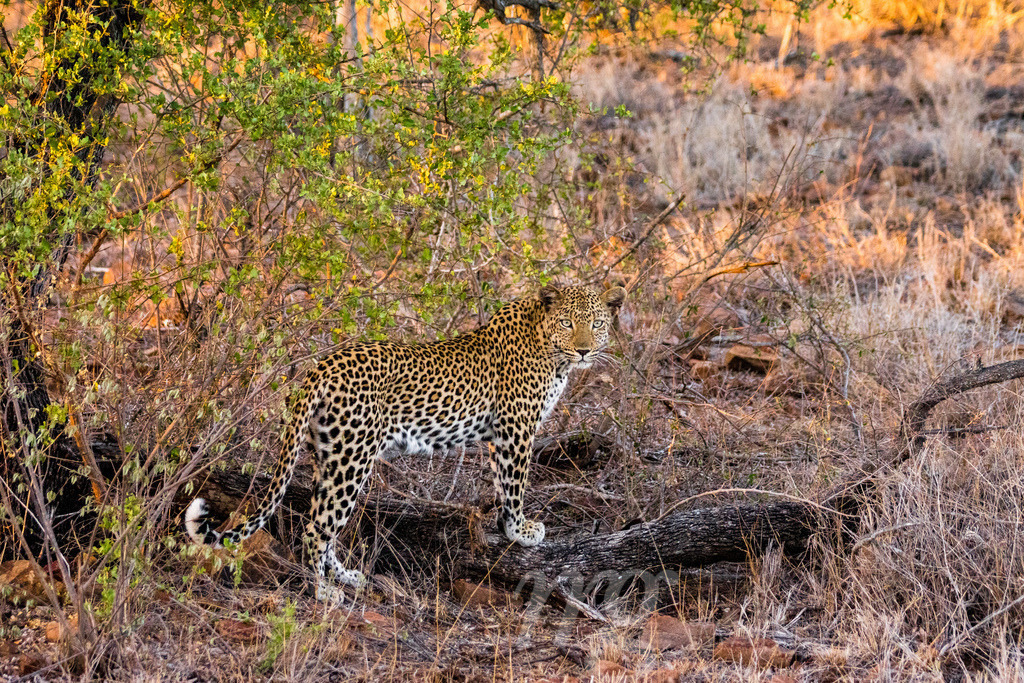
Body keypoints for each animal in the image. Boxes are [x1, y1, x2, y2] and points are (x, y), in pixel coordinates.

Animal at [185, 284, 626, 599]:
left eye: (596, 324)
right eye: (567, 323)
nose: (584, 349)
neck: (551, 351)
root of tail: (323, 365)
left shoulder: (501, 434)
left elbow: (502, 484)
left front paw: (507, 527)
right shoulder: (516, 428)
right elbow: (515, 484)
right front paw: (520, 529)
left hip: (330, 455)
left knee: (322, 521)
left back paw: (345, 576)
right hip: (352, 458)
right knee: (316, 529)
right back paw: (323, 590)